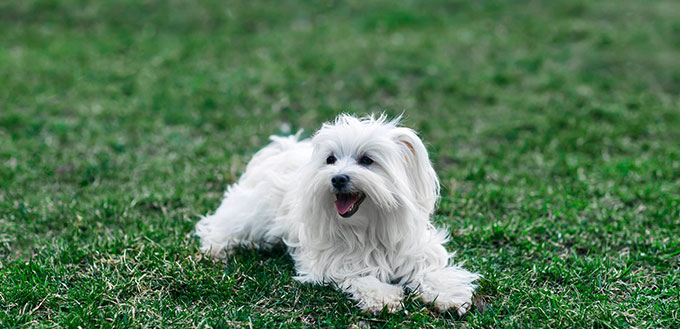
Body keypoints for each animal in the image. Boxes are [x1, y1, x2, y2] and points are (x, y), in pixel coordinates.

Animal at [195, 114, 478, 314]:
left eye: (367, 160)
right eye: (330, 159)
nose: (337, 178)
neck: (370, 227)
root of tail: (282, 149)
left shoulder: (416, 250)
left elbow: (432, 272)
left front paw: (450, 296)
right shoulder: (334, 261)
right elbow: (360, 277)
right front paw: (383, 297)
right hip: (251, 215)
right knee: (222, 226)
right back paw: (215, 251)